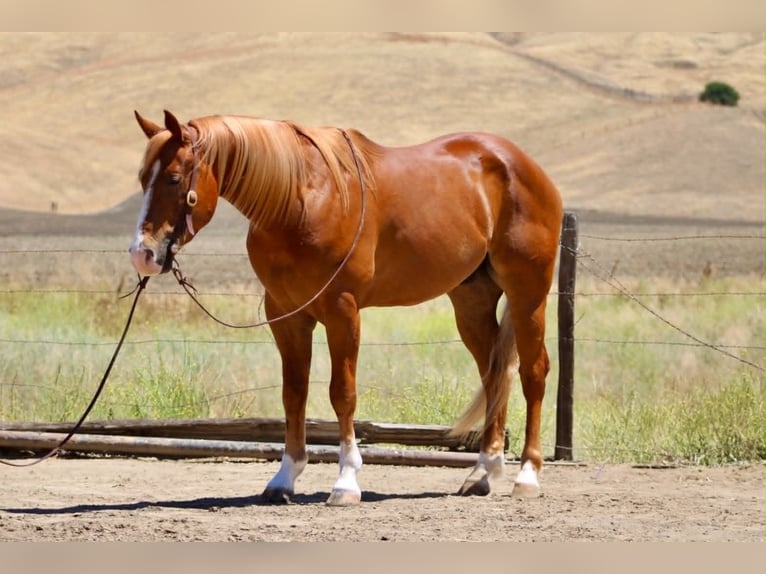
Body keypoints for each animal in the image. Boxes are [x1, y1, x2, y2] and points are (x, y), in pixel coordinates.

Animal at [129, 110, 563, 506]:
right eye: (142, 178)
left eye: (173, 178)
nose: (142, 255)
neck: (298, 200)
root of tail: (522, 164)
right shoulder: (287, 316)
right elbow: (294, 394)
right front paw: (284, 479)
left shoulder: (342, 310)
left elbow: (343, 394)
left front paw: (346, 483)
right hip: (472, 300)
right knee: (495, 374)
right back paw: (481, 473)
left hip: (528, 294)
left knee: (533, 372)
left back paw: (527, 476)